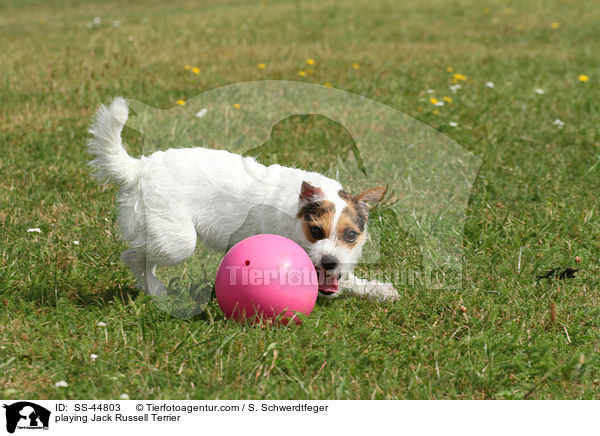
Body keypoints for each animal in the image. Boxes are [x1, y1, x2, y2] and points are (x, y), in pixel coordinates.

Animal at [88, 98, 398, 304]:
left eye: (351, 235)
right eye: (315, 231)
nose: (330, 262)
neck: (295, 214)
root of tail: (139, 169)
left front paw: (378, 290)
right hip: (176, 241)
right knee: (132, 257)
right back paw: (158, 291)